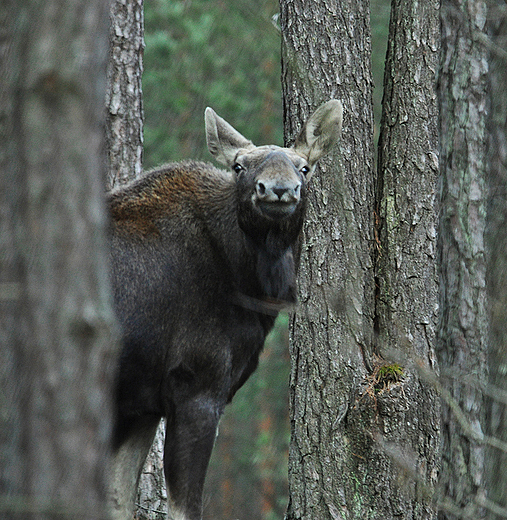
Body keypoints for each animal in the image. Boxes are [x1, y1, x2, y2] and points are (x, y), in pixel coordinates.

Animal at [108, 100, 344, 520]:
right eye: (238, 166)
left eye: (304, 167)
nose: (278, 189)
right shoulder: (196, 387)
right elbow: (185, 508)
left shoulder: (141, 407)